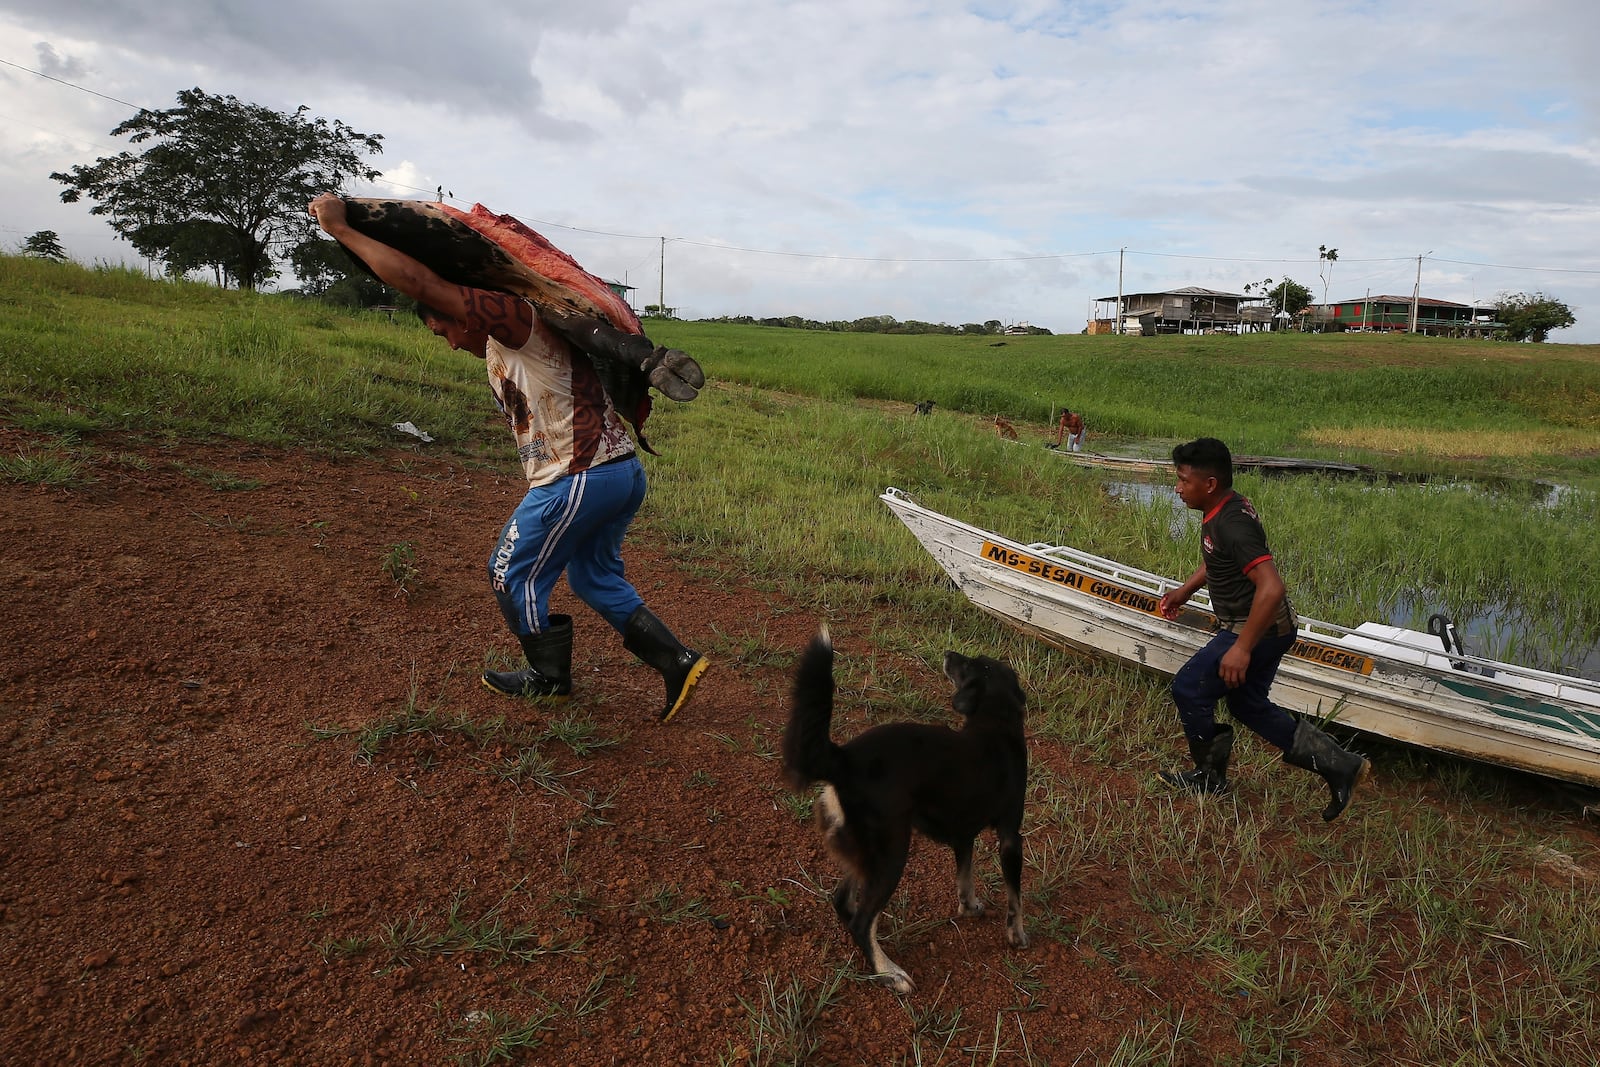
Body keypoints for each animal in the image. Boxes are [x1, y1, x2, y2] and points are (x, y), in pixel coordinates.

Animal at [780, 627, 1030, 991]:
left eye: (970, 664)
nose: (948, 653)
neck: (994, 723)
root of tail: (843, 759)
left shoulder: (963, 834)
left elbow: (965, 878)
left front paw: (969, 907)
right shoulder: (1011, 836)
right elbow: (1015, 896)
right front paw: (1017, 934)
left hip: (867, 853)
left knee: (845, 904)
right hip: (893, 851)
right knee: (861, 921)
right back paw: (888, 972)